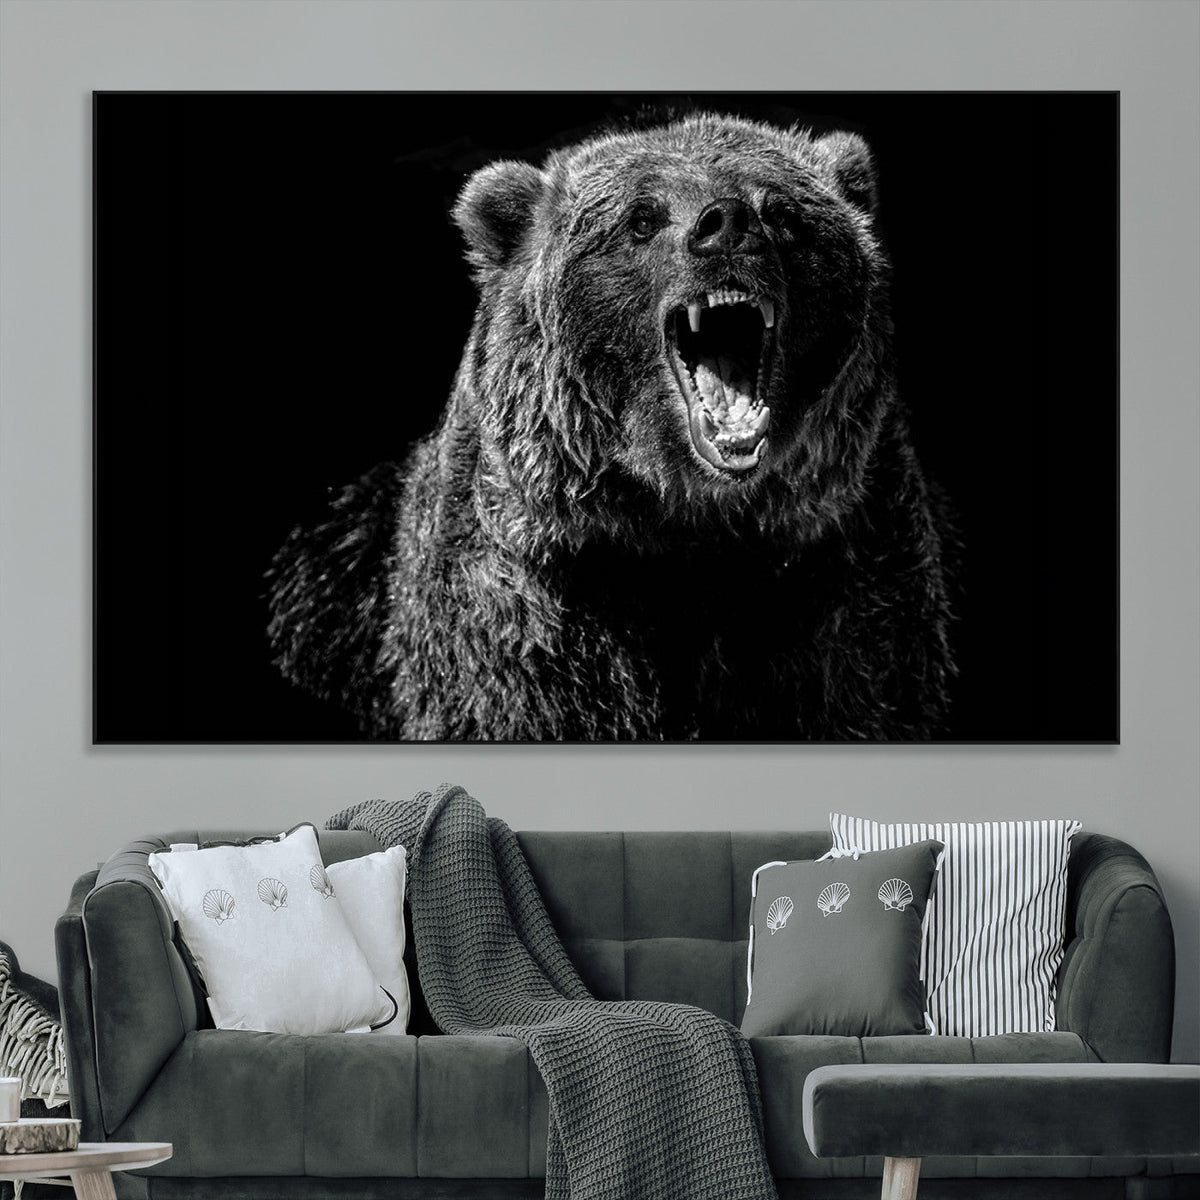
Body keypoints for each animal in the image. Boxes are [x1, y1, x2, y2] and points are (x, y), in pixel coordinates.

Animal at [266, 113, 956, 741]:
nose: (727, 224)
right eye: (641, 218)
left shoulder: (843, 582)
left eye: (782, 212)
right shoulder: (536, 607)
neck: (689, 524)